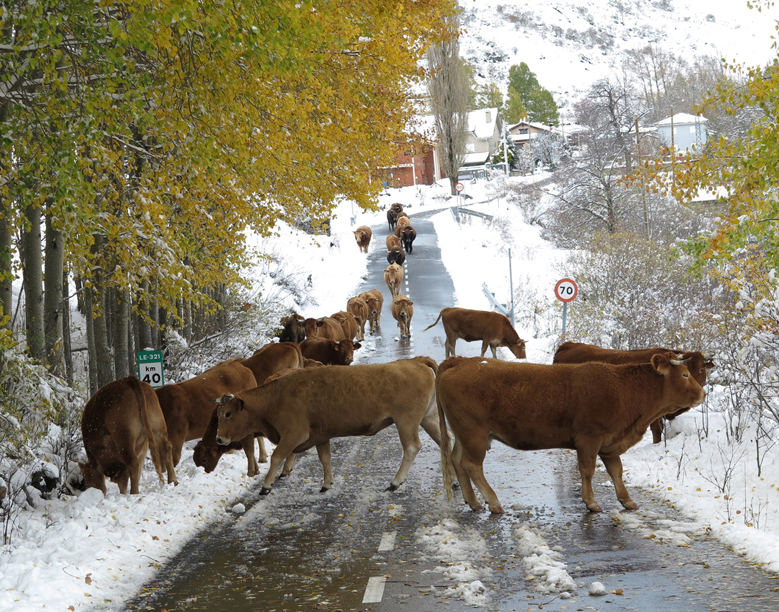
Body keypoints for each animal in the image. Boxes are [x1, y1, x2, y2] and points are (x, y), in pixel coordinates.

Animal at [213, 356, 444, 494]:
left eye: (228, 413)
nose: (219, 438)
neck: (277, 395)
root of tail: (415, 361)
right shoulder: (321, 437)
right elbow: (325, 459)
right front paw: (326, 483)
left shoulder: (294, 434)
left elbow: (276, 457)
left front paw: (266, 485)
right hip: (429, 419)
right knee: (445, 441)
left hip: (406, 422)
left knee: (412, 447)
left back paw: (395, 482)